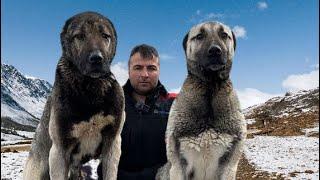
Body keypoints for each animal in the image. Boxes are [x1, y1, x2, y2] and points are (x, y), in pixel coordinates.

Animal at [22, 11, 124, 179]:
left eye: (105, 36)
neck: (90, 90)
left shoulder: (112, 144)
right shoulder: (59, 151)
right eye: (79, 36)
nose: (97, 58)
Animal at [158, 21, 248, 179]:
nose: (215, 51)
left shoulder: (230, 164)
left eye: (224, 35)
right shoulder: (177, 164)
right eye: (199, 36)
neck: (210, 87)